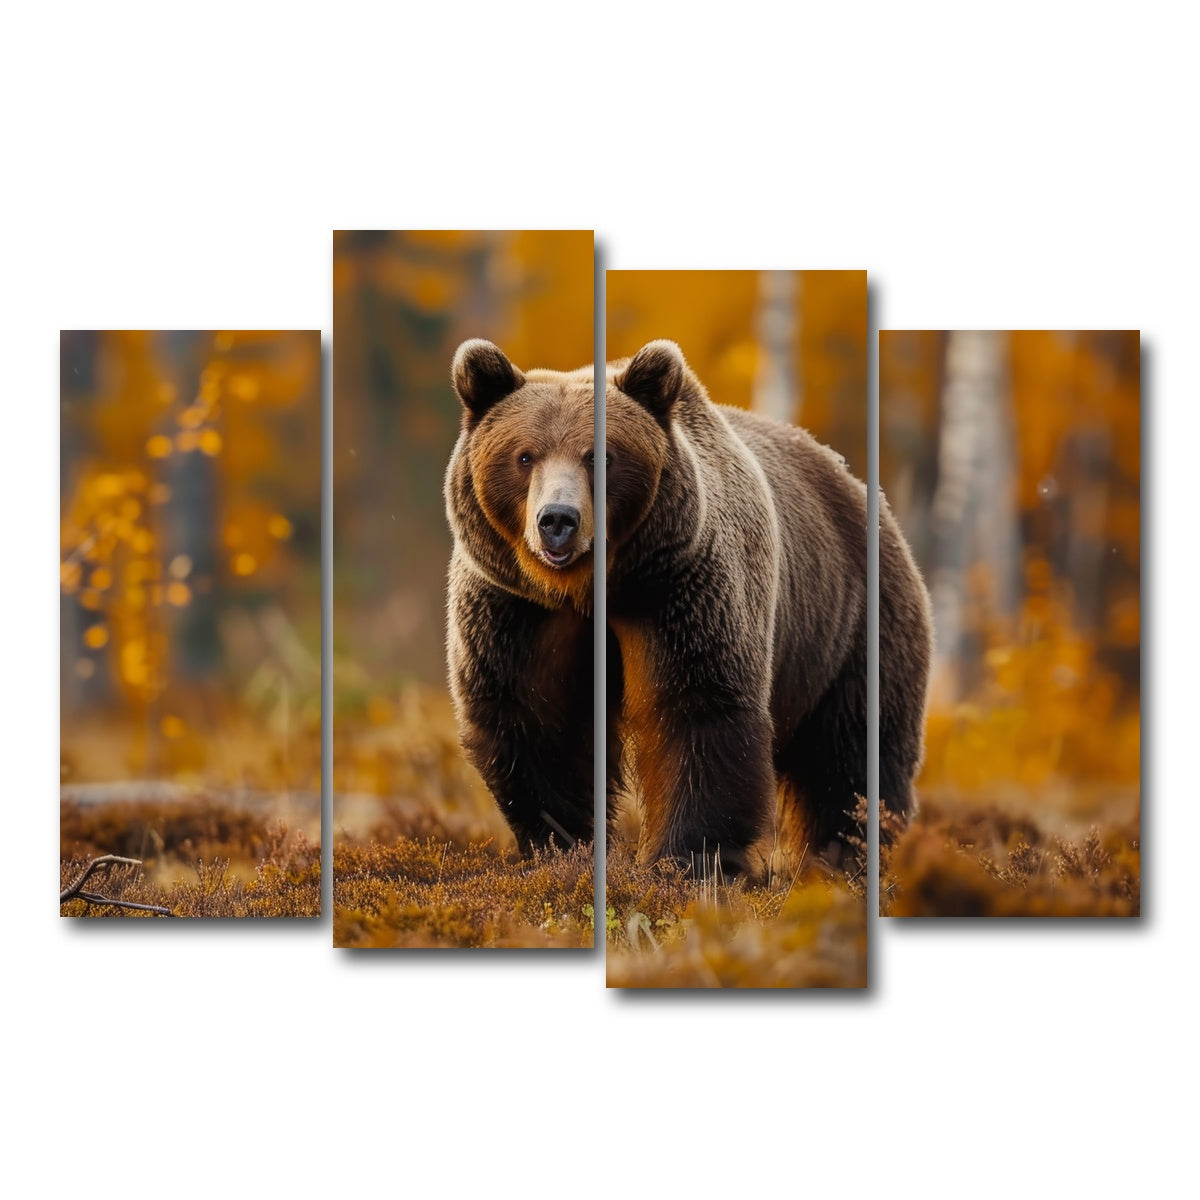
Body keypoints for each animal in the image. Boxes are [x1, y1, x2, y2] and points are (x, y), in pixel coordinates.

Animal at [606, 340, 931, 876]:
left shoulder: (696, 601)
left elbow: (702, 709)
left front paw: (685, 858)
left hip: (853, 633)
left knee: (854, 757)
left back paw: (854, 851)